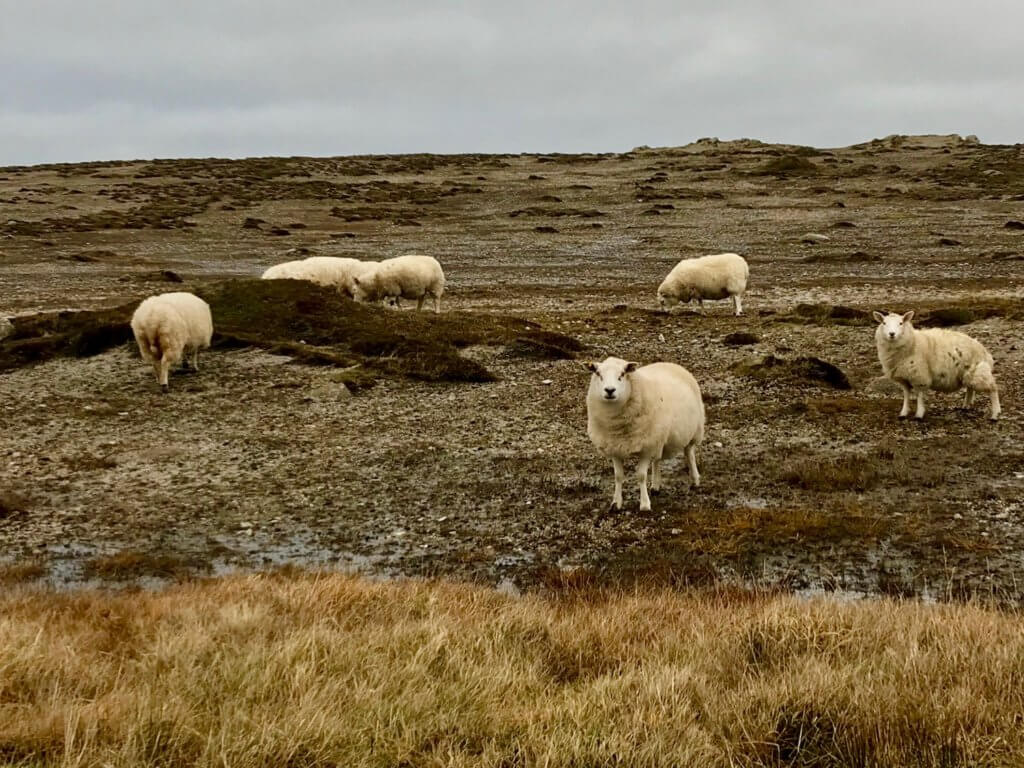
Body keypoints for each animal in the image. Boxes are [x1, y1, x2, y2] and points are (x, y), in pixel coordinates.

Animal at [585, 358, 704, 514]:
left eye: (622, 374)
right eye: (598, 374)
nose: (610, 390)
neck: (617, 428)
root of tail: (669, 363)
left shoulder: (646, 449)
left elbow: (641, 476)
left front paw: (645, 504)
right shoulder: (615, 448)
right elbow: (618, 476)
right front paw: (616, 503)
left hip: (693, 431)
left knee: (689, 454)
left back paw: (695, 480)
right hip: (658, 436)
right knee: (657, 460)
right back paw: (655, 486)